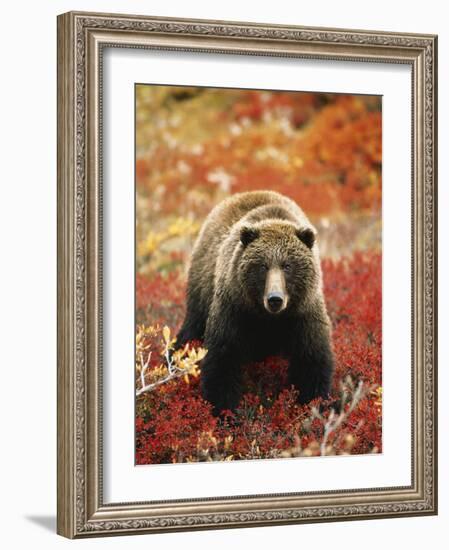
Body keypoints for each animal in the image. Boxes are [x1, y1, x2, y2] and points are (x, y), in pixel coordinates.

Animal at [177, 192, 334, 416]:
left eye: (287, 265)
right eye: (263, 266)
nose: (275, 298)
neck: (268, 318)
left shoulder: (303, 314)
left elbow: (312, 362)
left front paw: (313, 406)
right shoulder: (235, 309)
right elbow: (222, 359)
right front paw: (224, 411)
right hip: (201, 287)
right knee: (191, 329)